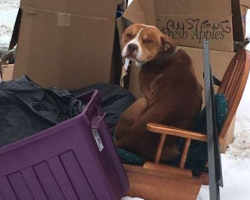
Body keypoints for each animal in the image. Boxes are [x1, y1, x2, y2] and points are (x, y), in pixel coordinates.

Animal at [115, 23, 203, 162]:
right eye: (129, 35)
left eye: (149, 41)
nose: (132, 46)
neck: (162, 56)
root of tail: (126, 141)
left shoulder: (146, 94)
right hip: (173, 152)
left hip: (141, 102)